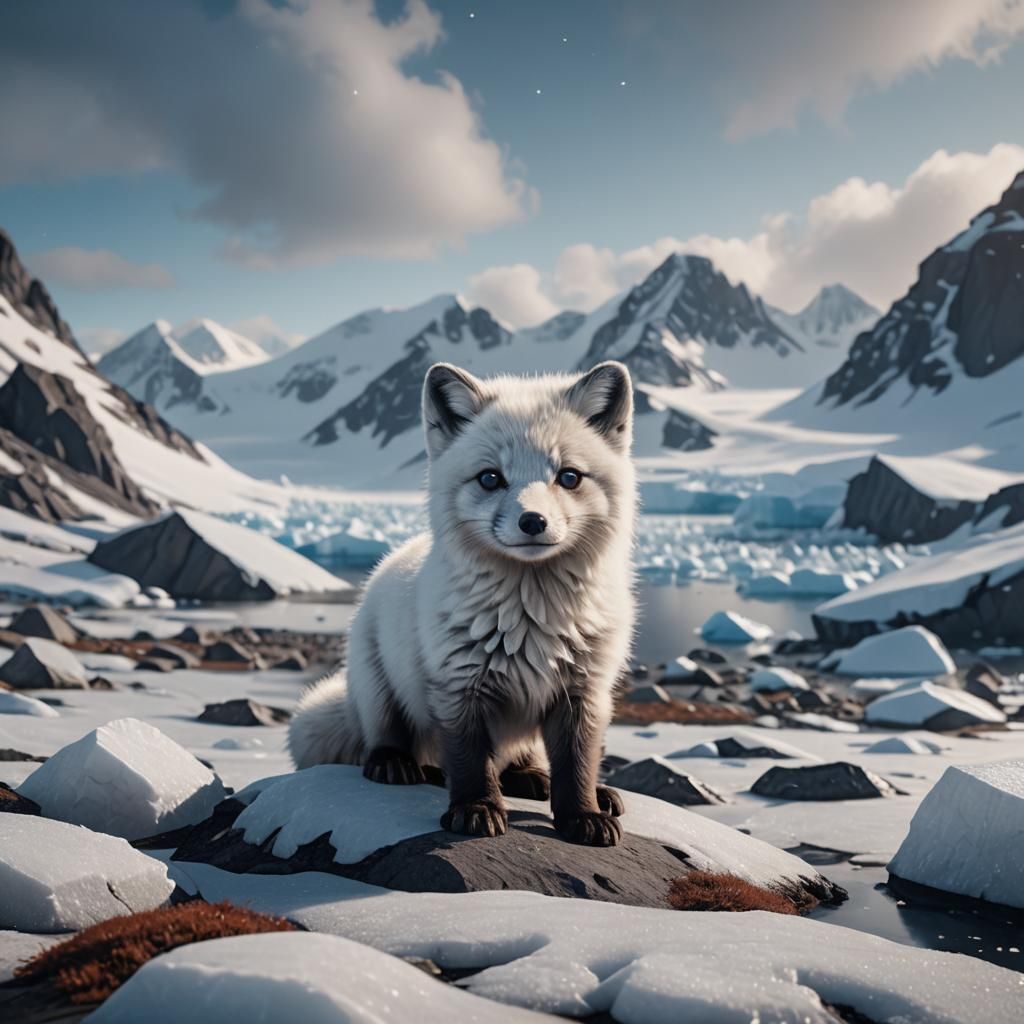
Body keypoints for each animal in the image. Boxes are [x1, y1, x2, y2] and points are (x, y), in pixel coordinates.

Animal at [288, 359, 637, 846]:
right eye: (490, 478)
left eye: (569, 476)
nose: (533, 521)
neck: (532, 619)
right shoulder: (458, 685)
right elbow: (470, 762)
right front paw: (476, 810)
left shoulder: (584, 691)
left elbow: (577, 765)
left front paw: (583, 814)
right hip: (375, 685)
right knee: (390, 738)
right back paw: (395, 764)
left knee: (522, 759)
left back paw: (542, 779)